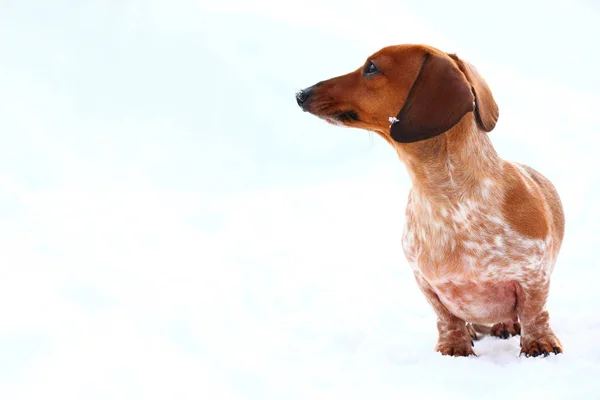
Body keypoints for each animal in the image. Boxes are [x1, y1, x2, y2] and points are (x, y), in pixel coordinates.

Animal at [298, 43, 564, 356]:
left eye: (372, 67)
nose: (301, 94)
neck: (451, 202)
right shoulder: (426, 282)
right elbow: (446, 318)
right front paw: (454, 348)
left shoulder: (533, 275)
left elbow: (535, 312)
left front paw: (539, 343)